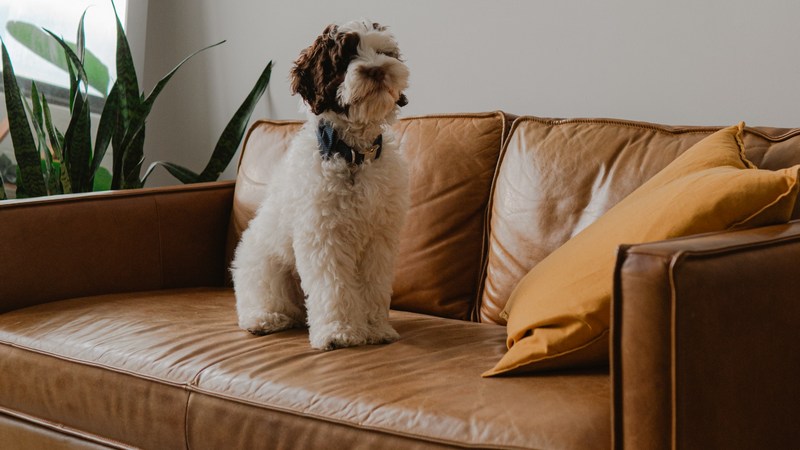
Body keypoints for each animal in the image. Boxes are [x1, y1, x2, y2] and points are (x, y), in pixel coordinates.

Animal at [230, 20, 406, 352]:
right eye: (345, 57)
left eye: (383, 53)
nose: (377, 70)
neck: (352, 154)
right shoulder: (325, 236)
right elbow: (335, 287)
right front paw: (341, 332)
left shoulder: (380, 239)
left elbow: (374, 286)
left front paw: (376, 329)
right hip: (265, 267)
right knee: (260, 300)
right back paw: (264, 319)